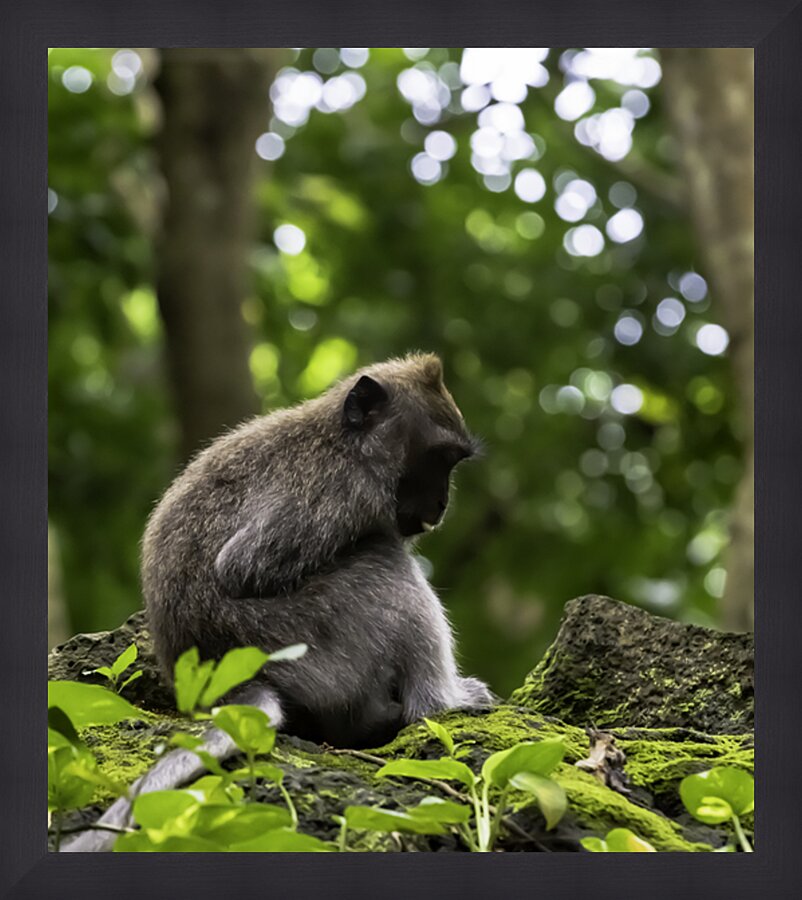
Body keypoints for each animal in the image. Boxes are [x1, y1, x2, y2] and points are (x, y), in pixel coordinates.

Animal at [60, 353, 493, 851]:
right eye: (438, 459)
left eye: (452, 462)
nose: (442, 503)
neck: (344, 443)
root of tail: (230, 682)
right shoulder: (336, 492)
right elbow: (243, 568)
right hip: (313, 651)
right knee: (383, 562)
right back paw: (440, 702)